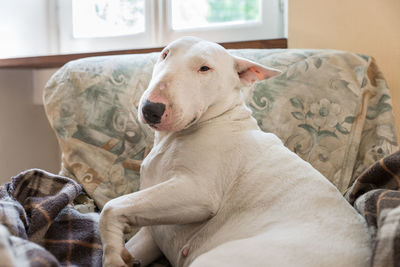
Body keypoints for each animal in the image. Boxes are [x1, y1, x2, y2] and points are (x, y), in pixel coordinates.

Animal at [100, 36, 372, 267]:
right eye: (165, 54)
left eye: (205, 68)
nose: (151, 109)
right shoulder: (151, 233)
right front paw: (122, 255)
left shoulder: (198, 193)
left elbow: (110, 208)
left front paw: (113, 257)